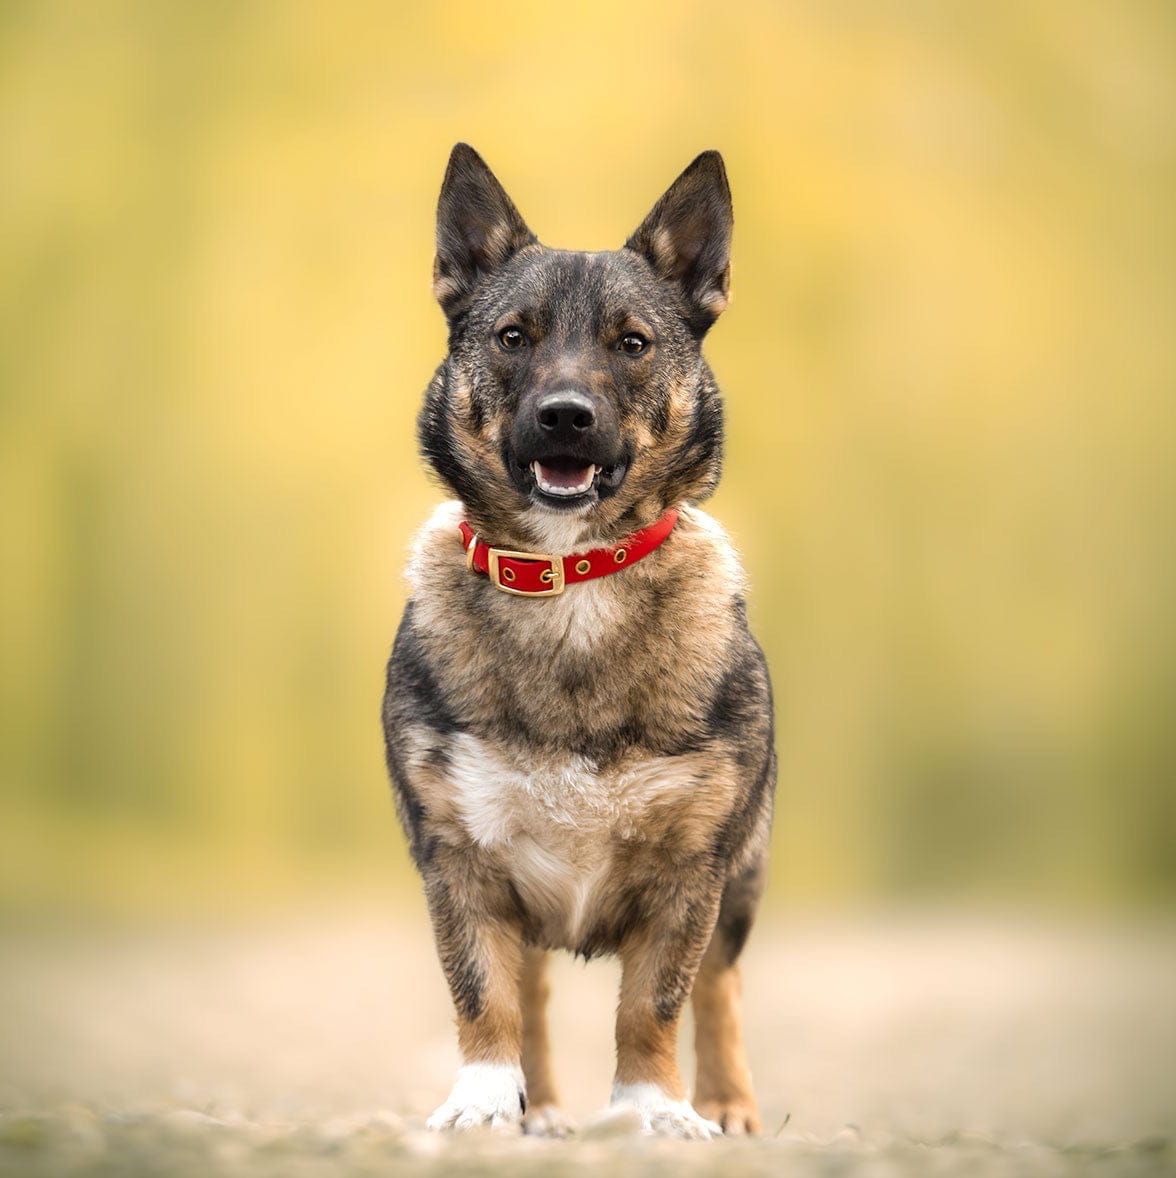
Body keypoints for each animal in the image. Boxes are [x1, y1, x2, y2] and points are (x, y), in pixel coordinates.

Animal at [382, 144, 775, 1138]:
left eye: (631, 343)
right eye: (513, 337)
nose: (565, 415)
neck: (572, 577)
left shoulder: (692, 871)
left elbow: (657, 1005)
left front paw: (655, 1109)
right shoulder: (463, 860)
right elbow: (487, 998)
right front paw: (486, 1103)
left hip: (744, 877)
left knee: (722, 986)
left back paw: (727, 1102)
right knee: (533, 995)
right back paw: (542, 1108)